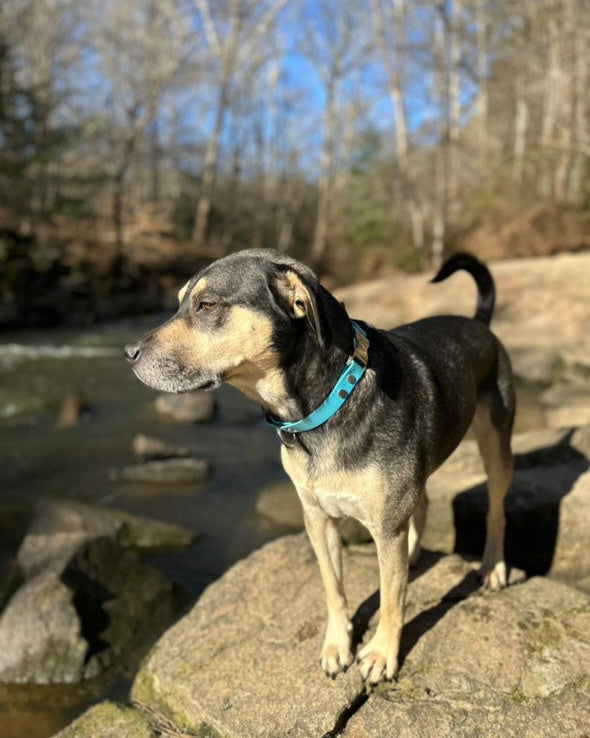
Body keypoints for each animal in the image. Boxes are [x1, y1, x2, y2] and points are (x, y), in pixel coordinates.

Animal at [126, 249, 520, 684]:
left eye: (206, 305)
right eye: (180, 302)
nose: (128, 354)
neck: (329, 401)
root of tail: (478, 322)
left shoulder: (385, 527)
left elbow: (391, 599)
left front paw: (380, 654)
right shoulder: (318, 518)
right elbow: (334, 588)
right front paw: (337, 646)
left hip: (496, 444)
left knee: (497, 511)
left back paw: (492, 567)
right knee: (424, 503)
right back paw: (417, 553)